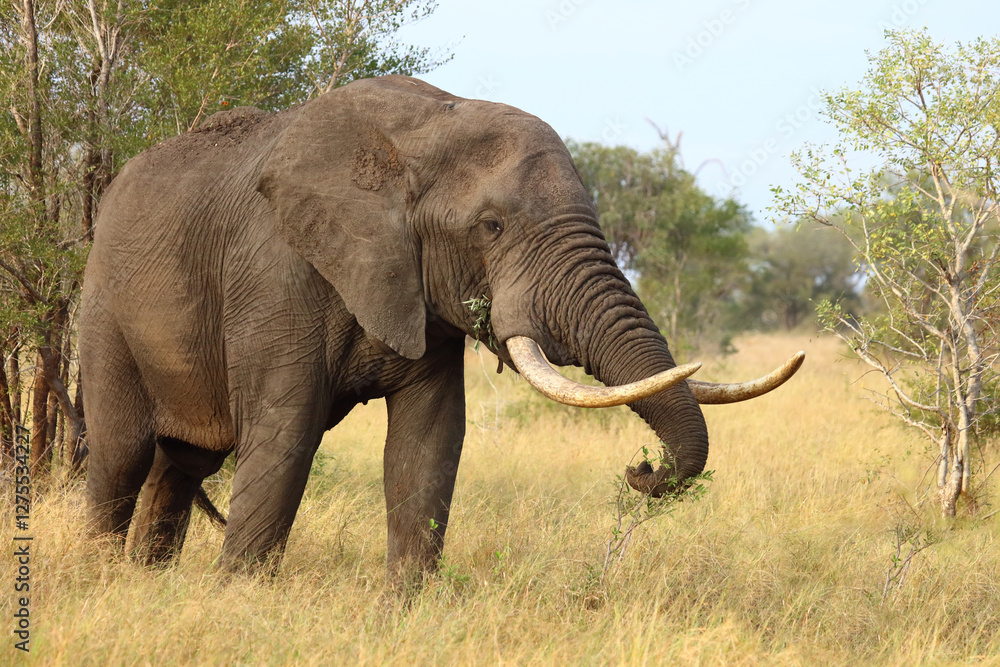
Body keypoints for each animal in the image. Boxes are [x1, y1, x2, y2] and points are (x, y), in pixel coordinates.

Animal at [80, 75, 803, 586]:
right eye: (491, 226)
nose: (641, 467)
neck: (426, 126)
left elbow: (427, 442)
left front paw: (403, 611)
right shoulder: (275, 273)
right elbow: (285, 435)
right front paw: (241, 600)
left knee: (181, 464)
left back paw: (147, 585)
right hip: (105, 305)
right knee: (122, 453)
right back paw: (102, 581)